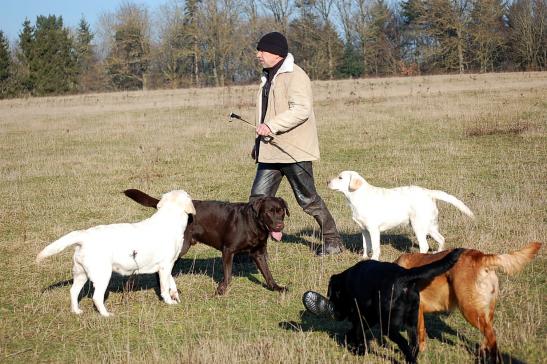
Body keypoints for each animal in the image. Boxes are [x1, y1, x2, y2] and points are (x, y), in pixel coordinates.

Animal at [36, 191, 196, 316]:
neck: (169, 218)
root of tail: (84, 236)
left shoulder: (167, 266)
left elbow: (171, 282)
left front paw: (175, 295)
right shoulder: (165, 266)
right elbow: (164, 287)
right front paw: (169, 302)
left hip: (81, 274)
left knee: (73, 292)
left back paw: (76, 311)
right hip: (103, 275)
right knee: (96, 297)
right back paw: (106, 315)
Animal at [123, 189, 286, 294]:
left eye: (281, 211)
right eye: (269, 212)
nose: (280, 225)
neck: (253, 223)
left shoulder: (259, 253)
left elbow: (267, 273)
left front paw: (276, 287)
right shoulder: (228, 250)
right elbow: (228, 275)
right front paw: (221, 290)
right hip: (182, 246)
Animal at [328, 172, 474, 260]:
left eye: (340, 177)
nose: (327, 181)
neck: (358, 197)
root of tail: (428, 192)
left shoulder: (373, 229)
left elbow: (375, 247)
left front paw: (373, 259)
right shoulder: (364, 229)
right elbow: (366, 245)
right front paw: (364, 258)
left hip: (418, 226)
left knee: (424, 246)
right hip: (429, 226)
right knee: (441, 239)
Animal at [328, 249, 464, 362]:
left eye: (332, 298)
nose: (334, 315)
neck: (347, 282)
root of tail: (404, 275)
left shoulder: (361, 316)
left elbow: (357, 332)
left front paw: (359, 350)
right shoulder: (370, 318)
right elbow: (355, 330)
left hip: (389, 326)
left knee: (404, 343)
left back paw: (410, 360)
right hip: (411, 321)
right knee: (414, 343)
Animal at [396, 242, 540, 362]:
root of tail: (481, 256)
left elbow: (416, 335)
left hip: (469, 310)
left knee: (491, 336)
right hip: (485, 312)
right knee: (489, 332)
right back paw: (481, 351)